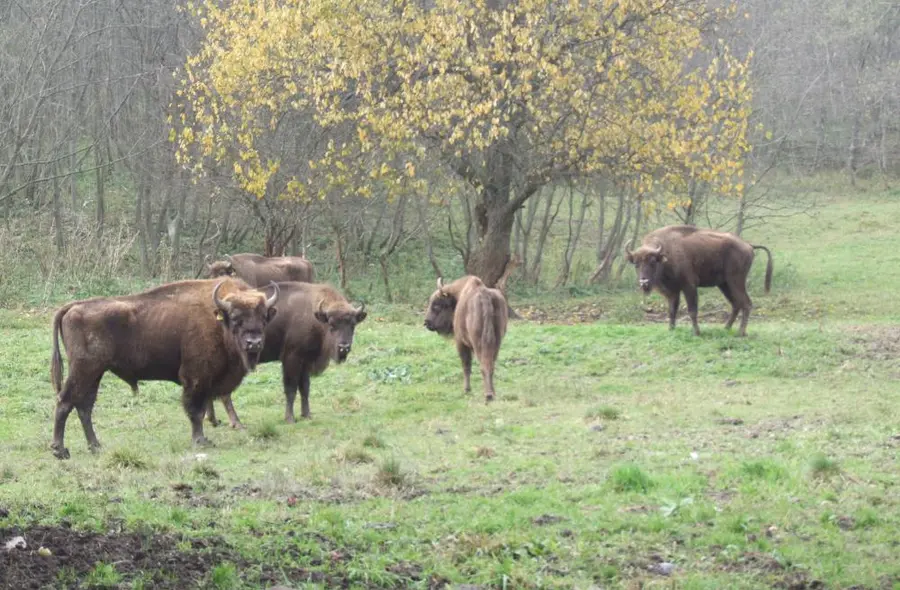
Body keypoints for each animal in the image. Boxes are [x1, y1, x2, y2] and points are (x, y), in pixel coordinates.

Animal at [49, 280, 278, 460]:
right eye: (237, 319)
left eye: (263, 318)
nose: (254, 343)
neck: (218, 319)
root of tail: (74, 306)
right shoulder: (196, 378)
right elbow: (195, 410)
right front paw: (201, 441)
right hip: (84, 370)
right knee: (65, 401)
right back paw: (60, 450)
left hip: (95, 373)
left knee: (84, 406)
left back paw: (95, 446)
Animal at [206, 284, 368, 430]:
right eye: (332, 325)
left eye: (353, 325)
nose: (344, 347)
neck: (314, 315)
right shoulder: (292, 359)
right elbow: (291, 389)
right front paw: (290, 419)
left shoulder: (305, 362)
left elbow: (305, 388)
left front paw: (307, 415)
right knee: (224, 393)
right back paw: (236, 423)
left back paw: (215, 421)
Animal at [624, 225, 772, 338]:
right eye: (636, 263)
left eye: (653, 262)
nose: (644, 282)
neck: (666, 254)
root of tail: (748, 245)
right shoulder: (673, 292)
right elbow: (672, 310)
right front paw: (671, 330)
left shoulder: (689, 287)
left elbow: (692, 310)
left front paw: (696, 333)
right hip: (724, 285)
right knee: (736, 304)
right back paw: (726, 328)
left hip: (736, 281)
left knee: (746, 303)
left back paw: (740, 333)